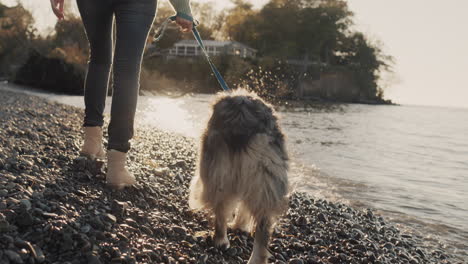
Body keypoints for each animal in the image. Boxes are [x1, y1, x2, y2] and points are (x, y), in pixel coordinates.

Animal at [188, 89, 288, 264]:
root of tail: (242, 118)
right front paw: (240, 225)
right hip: (263, 178)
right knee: (263, 225)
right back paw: (256, 257)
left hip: (216, 172)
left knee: (220, 210)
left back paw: (220, 240)